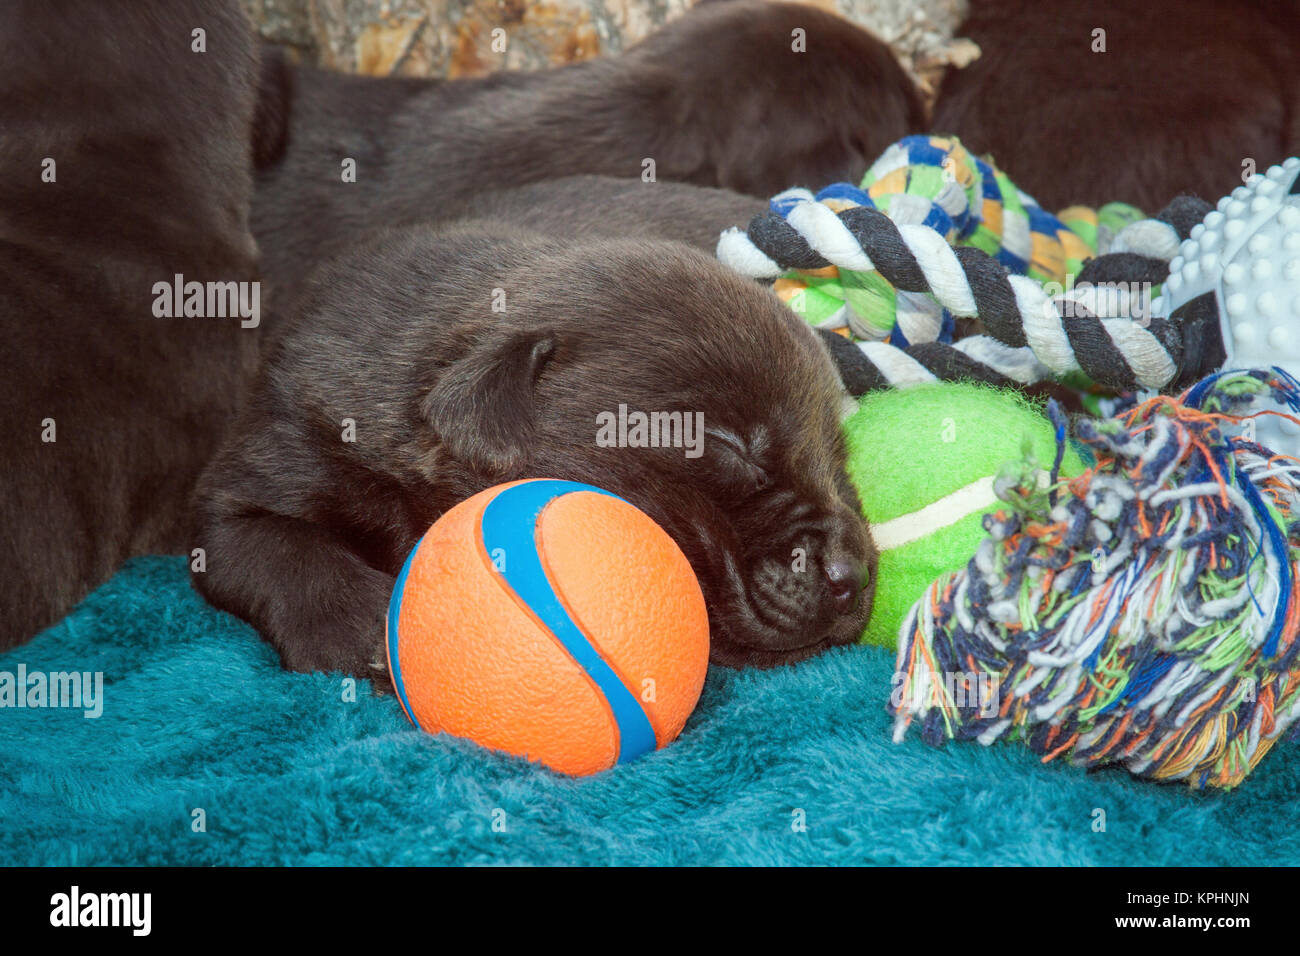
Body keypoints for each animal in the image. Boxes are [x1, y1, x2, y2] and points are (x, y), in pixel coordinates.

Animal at [189, 221, 873, 676]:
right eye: (729, 444)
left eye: (840, 459)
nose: (858, 576)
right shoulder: (265, 462)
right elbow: (274, 544)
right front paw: (364, 629)